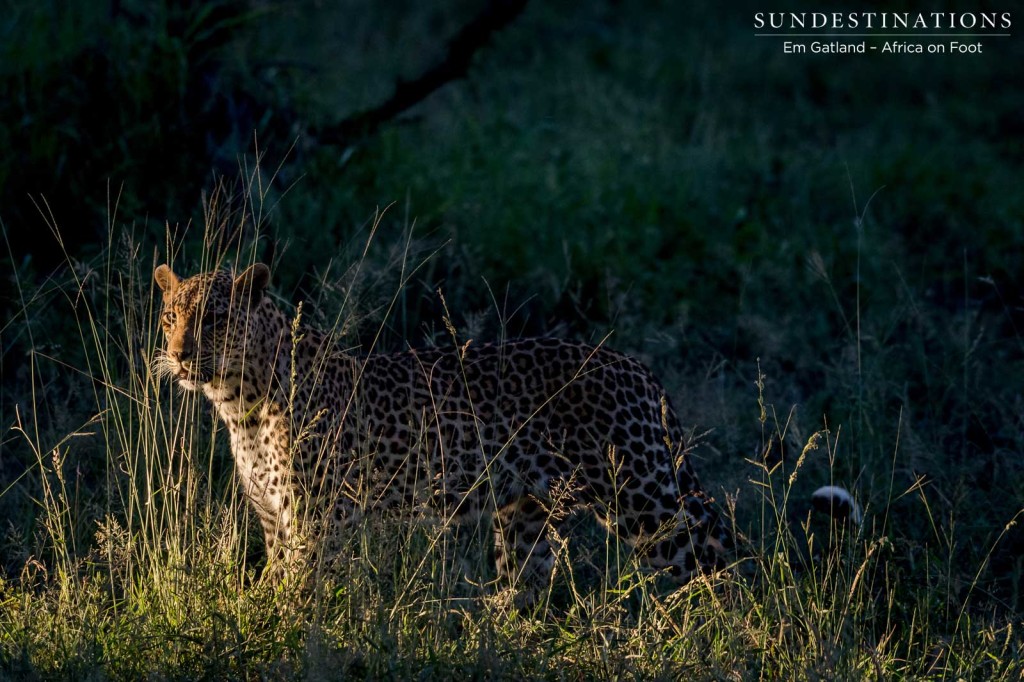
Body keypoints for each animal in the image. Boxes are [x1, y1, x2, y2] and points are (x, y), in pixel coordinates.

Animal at [153, 261, 729, 602]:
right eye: (170, 318)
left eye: (215, 319)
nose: (179, 355)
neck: (240, 402)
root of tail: (636, 366)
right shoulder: (274, 518)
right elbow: (274, 581)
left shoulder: (318, 519)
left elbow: (299, 589)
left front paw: (284, 634)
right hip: (526, 513)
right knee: (524, 588)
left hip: (642, 499)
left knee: (712, 548)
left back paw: (726, 630)